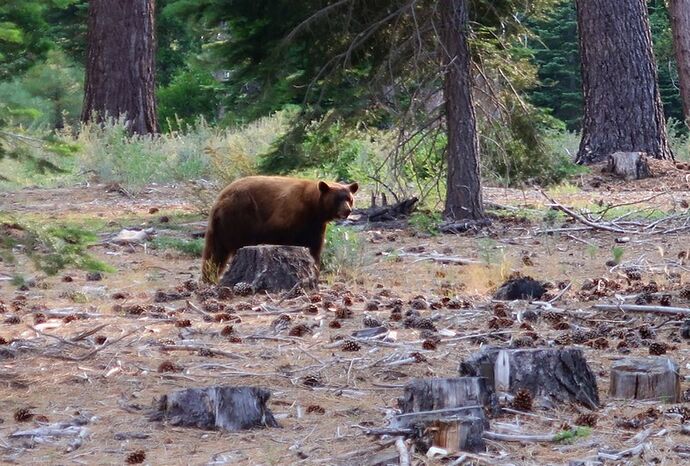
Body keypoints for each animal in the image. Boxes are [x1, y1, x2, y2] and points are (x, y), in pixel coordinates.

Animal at [199, 176, 358, 282]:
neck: (313, 207)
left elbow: (314, 249)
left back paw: (209, 277)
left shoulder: (315, 226)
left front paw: (314, 273)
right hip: (239, 216)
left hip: (219, 228)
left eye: (349, 199)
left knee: (214, 252)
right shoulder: (289, 216)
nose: (347, 211)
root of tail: (219, 200)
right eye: (338, 199)